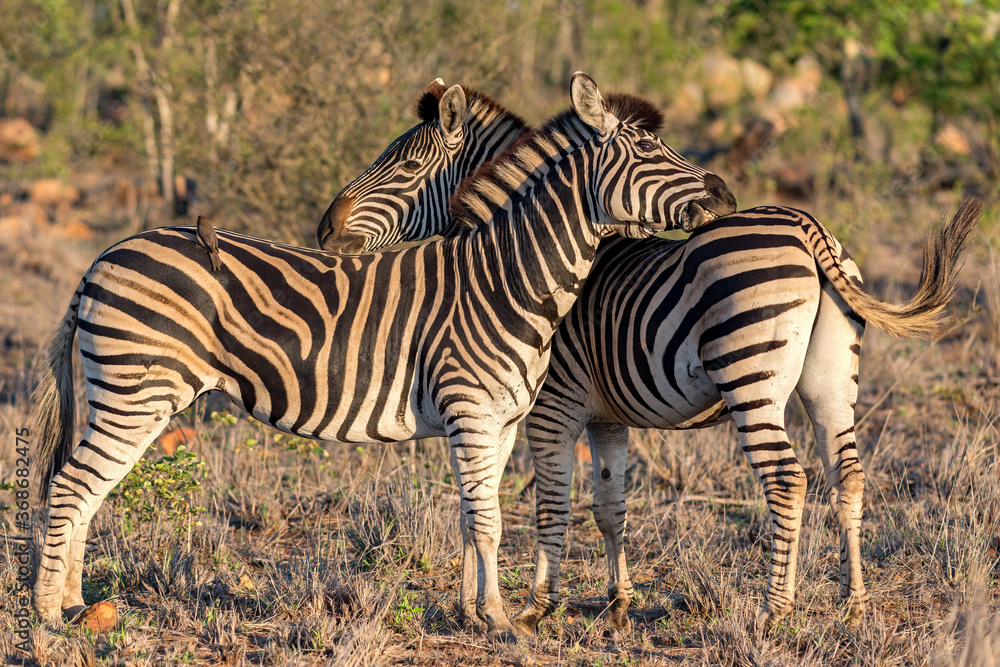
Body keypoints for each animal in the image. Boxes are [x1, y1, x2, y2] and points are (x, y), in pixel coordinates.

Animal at [30, 73, 736, 641]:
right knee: (70, 487)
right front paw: (503, 620)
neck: (508, 277)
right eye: (648, 153)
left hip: (126, 395)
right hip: (135, 394)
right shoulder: (479, 411)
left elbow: (475, 514)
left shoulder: (502, 420)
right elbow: (491, 521)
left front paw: (475, 613)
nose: (725, 197)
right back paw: (48, 615)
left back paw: (76, 605)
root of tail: (103, 257)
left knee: (86, 491)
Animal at [314, 94, 982, 633]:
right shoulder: (605, 415)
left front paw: (532, 608)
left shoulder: (551, 405)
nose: (325, 229)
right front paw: (614, 604)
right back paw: (855, 604)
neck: (519, 262)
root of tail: (806, 223)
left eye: (404, 166)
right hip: (831, 384)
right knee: (849, 475)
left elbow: (547, 502)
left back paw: (775, 610)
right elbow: (608, 508)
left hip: (751, 379)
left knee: (786, 480)